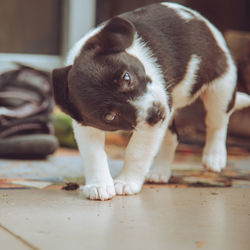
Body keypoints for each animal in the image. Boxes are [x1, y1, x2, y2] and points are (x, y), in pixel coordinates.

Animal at [52, 2, 250, 201]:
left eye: (126, 77)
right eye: (109, 116)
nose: (156, 113)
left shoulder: (153, 122)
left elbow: (136, 152)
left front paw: (126, 181)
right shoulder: (86, 126)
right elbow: (93, 154)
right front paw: (99, 184)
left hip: (221, 86)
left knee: (217, 122)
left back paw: (214, 156)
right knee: (172, 138)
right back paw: (160, 171)